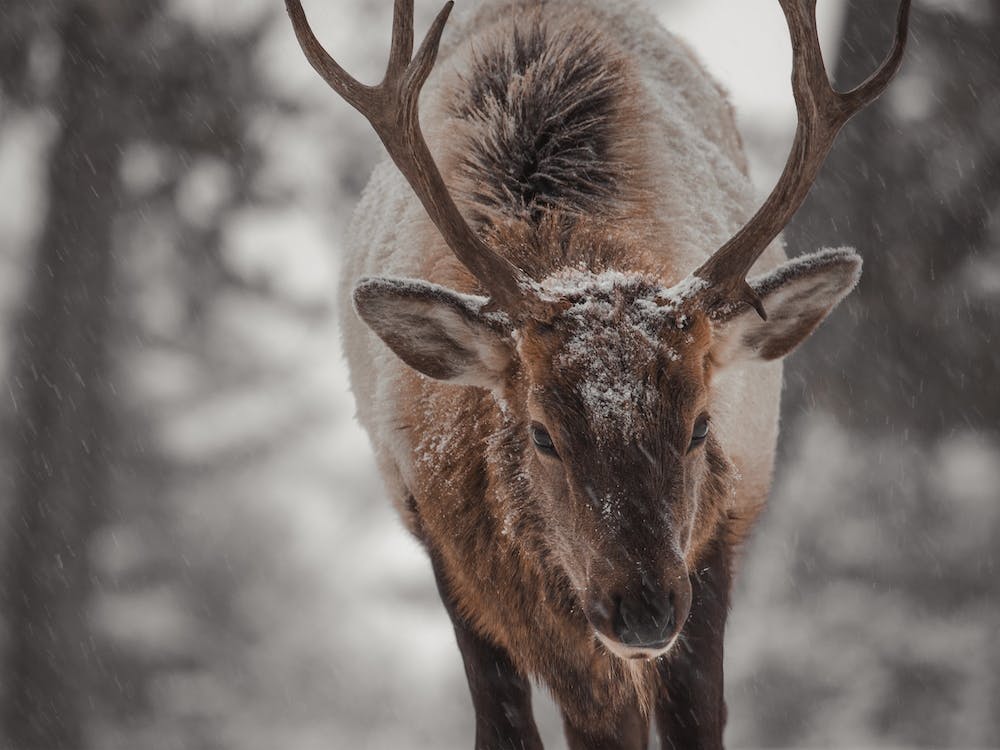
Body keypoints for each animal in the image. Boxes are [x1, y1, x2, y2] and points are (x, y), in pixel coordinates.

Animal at [285, 0, 910, 747]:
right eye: (542, 433)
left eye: (701, 425)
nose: (641, 611)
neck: (571, 245)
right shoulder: (452, 552)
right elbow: (511, 726)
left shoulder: (713, 543)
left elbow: (696, 721)